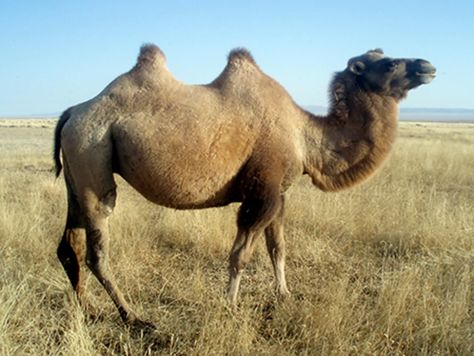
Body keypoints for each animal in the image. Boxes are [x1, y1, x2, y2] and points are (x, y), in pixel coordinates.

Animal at [53, 45, 436, 328]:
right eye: (389, 63)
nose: (428, 65)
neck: (305, 136)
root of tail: (72, 112)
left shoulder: (279, 194)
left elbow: (277, 247)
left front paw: (284, 296)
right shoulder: (261, 192)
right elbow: (240, 255)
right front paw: (230, 306)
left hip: (78, 171)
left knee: (70, 244)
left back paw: (88, 310)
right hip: (92, 155)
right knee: (97, 248)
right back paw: (133, 316)